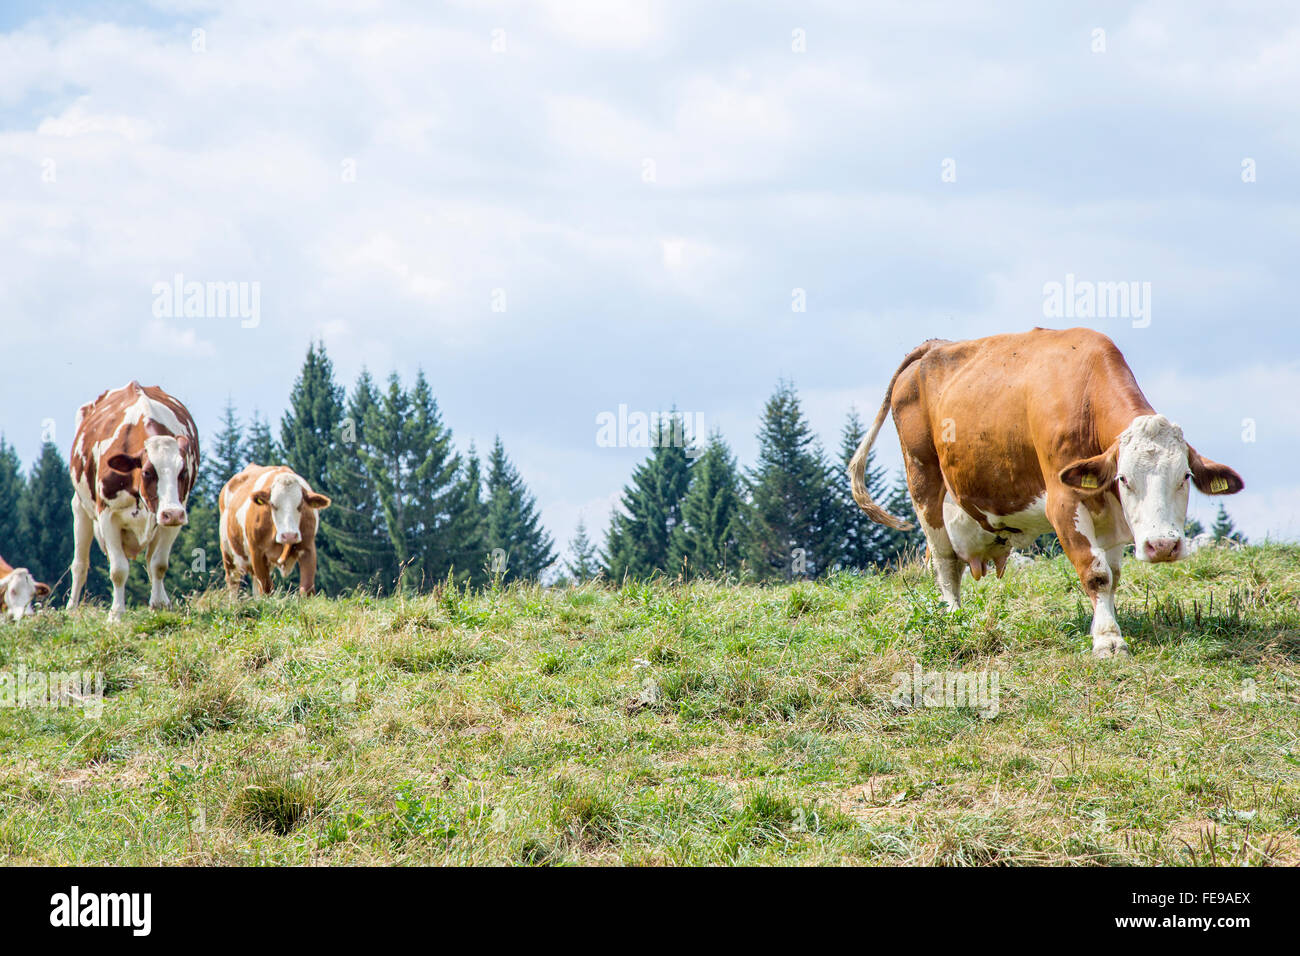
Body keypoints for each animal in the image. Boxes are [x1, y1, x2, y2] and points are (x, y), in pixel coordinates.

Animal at [67, 382, 200, 619]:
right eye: (147, 472)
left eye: (183, 472)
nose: (172, 513)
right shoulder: (107, 515)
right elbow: (118, 570)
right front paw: (116, 614)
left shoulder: (174, 515)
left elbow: (158, 564)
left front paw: (158, 605)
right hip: (80, 507)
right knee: (80, 564)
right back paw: (72, 608)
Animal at [218, 464, 331, 596]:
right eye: (273, 504)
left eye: (300, 504)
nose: (289, 535)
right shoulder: (257, 552)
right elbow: (267, 588)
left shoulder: (308, 549)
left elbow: (306, 588)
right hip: (228, 554)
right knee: (234, 583)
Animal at [849, 328, 1244, 658]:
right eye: (1124, 479)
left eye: (1185, 476)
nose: (1162, 546)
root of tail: (933, 346)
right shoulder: (1063, 501)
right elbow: (1096, 572)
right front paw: (1108, 639)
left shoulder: (1110, 516)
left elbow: (1112, 575)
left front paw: (1106, 623)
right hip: (923, 478)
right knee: (945, 562)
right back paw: (953, 619)